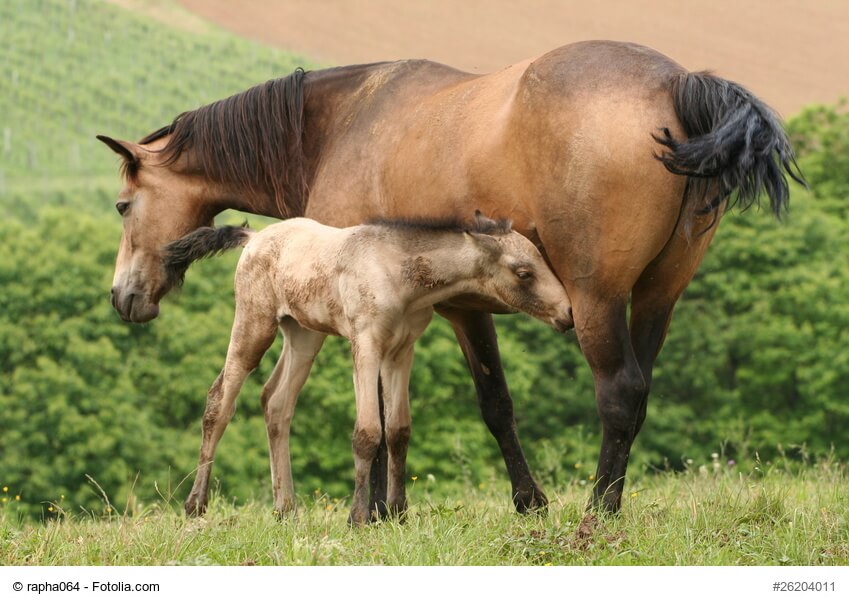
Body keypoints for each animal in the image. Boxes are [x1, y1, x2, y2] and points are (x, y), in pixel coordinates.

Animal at [159, 213, 572, 523]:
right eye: (523, 272)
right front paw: (359, 517)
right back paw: (195, 506)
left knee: (275, 402)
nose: (568, 313)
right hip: (254, 323)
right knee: (220, 399)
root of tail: (254, 237)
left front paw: (398, 513)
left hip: (303, 334)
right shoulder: (367, 344)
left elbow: (398, 431)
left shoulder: (402, 351)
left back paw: (286, 509)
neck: (400, 273)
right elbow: (367, 433)